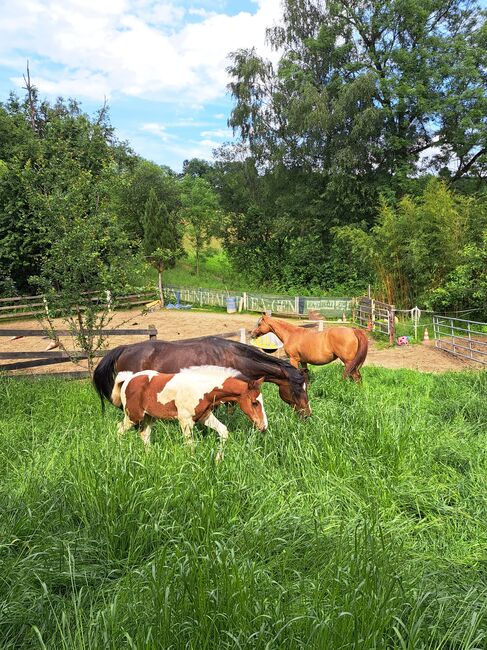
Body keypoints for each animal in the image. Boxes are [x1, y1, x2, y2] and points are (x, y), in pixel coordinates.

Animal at [112, 368, 268, 458]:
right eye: (255, 402)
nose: (264, 426)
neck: (202, 389)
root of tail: (128, 379)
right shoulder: (185, 421)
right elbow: (190, 445)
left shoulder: (204, 416)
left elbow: (223, 431)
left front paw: (218, 459)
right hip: (133, 416)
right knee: (119, 429)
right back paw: (119, 452)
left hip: (149, 417)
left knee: (145, 434)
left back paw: (149, 456)